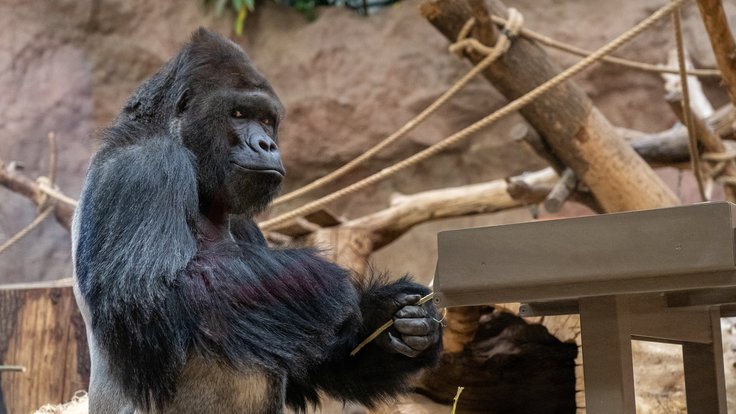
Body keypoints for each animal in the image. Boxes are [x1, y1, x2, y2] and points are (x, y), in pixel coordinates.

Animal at [73, 27, 442, 412]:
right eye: (237, 113)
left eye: (266, 120)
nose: (266, 145)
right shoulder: (145, 166)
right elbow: (154, 294)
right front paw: (313, 280)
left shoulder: (243, 221)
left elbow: (311, 359)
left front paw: (397, 321)